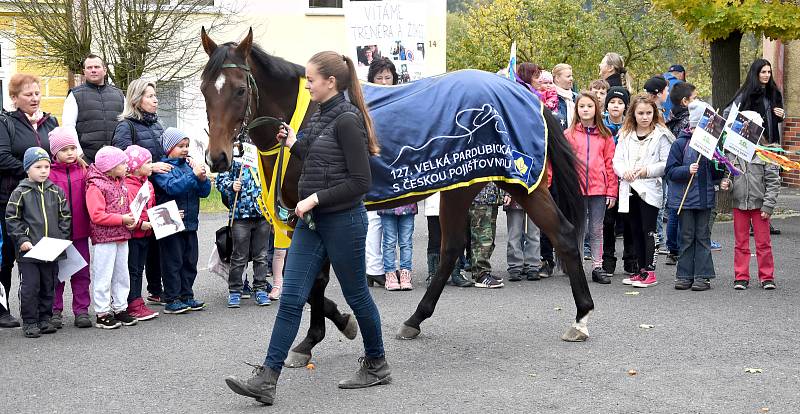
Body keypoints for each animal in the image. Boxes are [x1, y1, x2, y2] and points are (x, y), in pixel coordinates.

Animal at [200, 29, 592, 364]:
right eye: (204, 88)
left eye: (239, 90)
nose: (216, 158)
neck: (307, 116)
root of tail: (526, 96)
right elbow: (313, 282)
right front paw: (332, 326)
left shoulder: (311, 211)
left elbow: (316, 282)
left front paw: (319, 335)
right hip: (464, 187)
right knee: (454, 248)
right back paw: (416, 319)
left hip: (515, 182)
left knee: (561, 234)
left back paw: (581, 317)